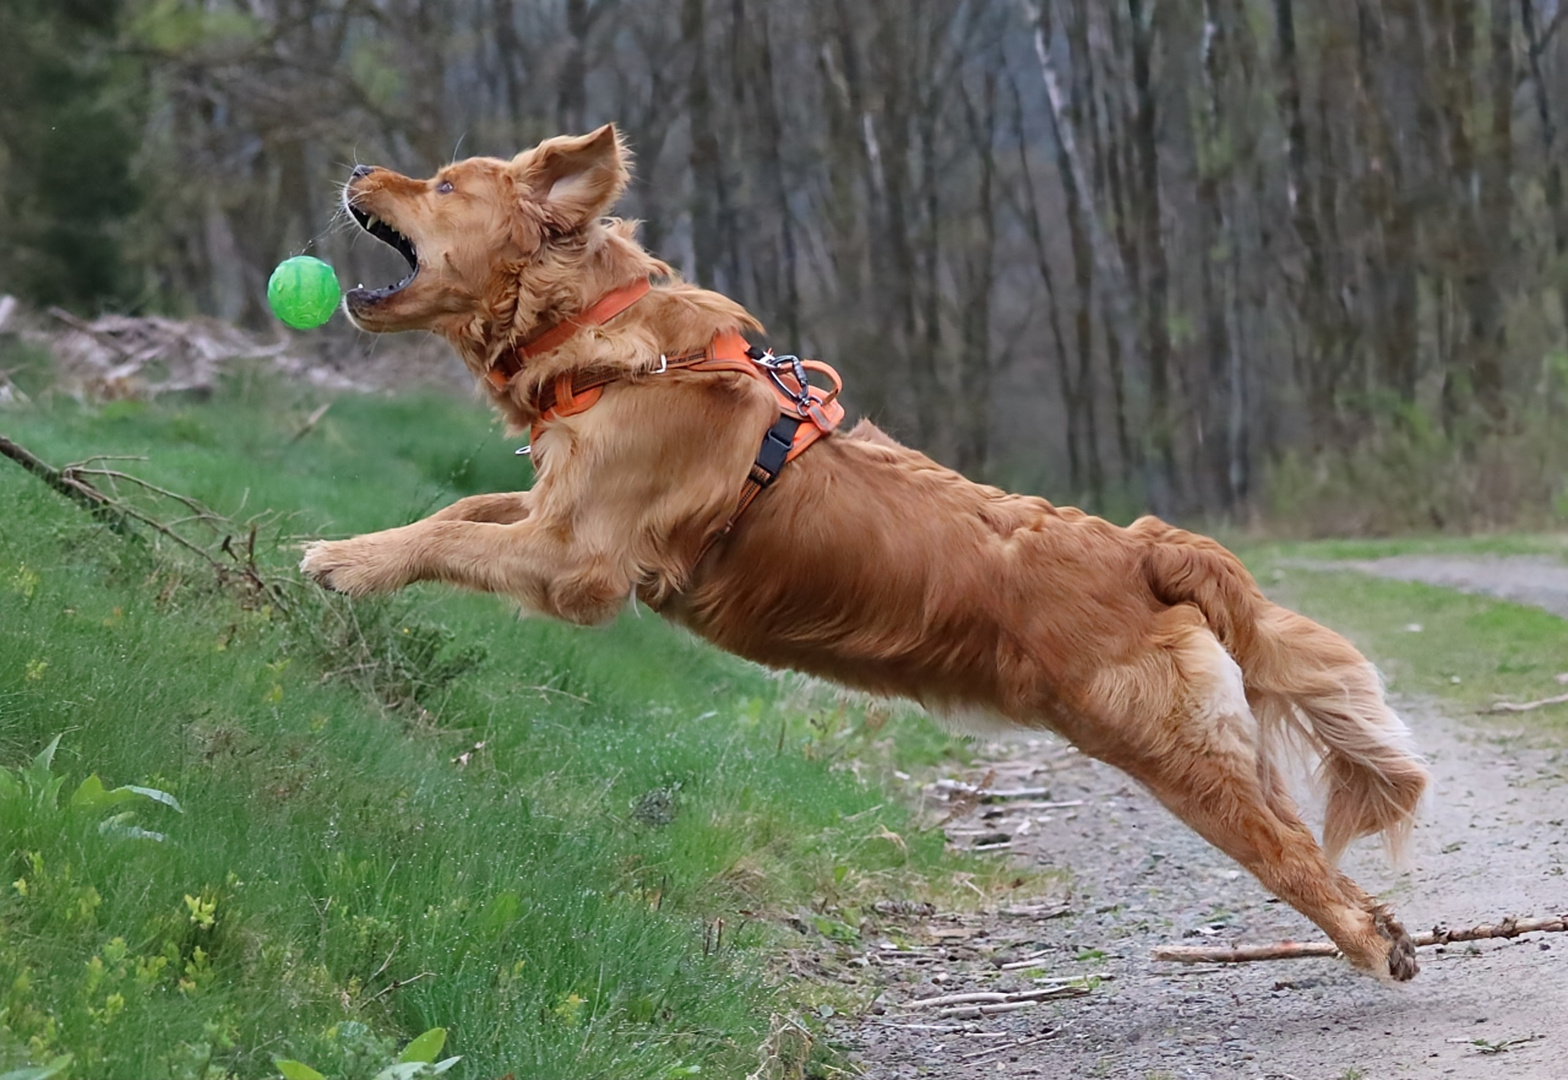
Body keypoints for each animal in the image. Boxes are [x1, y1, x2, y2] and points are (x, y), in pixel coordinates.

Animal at [302, 124, 1436, 978]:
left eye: (445, 182)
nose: (353, 163)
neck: (609, 338)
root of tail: (1139, 548)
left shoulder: (581, 559)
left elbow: (453, 531)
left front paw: (344, 561)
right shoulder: (555, 509)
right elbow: (466, 508)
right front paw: (359, 546)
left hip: (1171, 751)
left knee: (1292, 860)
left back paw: (1370, 946)